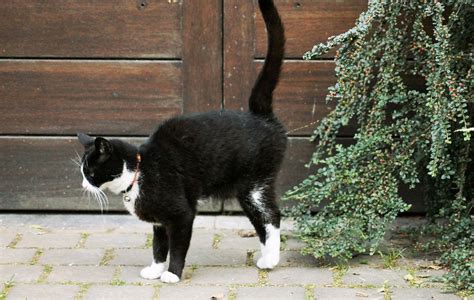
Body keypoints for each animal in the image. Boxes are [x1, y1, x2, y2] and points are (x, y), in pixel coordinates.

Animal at [78, 0, 286, 284]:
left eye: (89, 172)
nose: (82, 184)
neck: (139, 173)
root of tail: (260, 116)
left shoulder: (181, 214)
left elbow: (177, 246)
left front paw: (172, 274)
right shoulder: (158, 221)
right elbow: (158, 246)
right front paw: (154, 270)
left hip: (254, 184)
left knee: (271, 216)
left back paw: (272, 259)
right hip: (247, 189)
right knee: (260, 221)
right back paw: (265, 258)